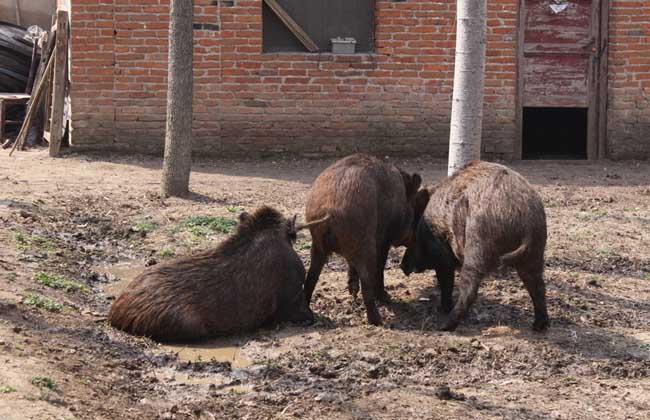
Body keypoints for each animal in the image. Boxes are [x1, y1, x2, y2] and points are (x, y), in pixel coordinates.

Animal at [302, 153, 422, 326]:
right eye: (414, 210)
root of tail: (330, 210)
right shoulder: (383, 239)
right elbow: (380, 266)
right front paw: (386, 298)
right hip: (364, 242)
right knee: (367, 280)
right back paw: (377, 320)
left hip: (317, 243)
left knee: (311, 276)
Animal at [400, 161, 548, 332]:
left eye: (411, 237)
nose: (402, 266)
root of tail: (526, 220)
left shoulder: (442, 254)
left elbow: (445, 281)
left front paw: (442, 309)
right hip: (535, 252)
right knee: (537, 285)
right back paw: (538, 326)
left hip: (476, 245)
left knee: (469, 288)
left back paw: (444, 326)